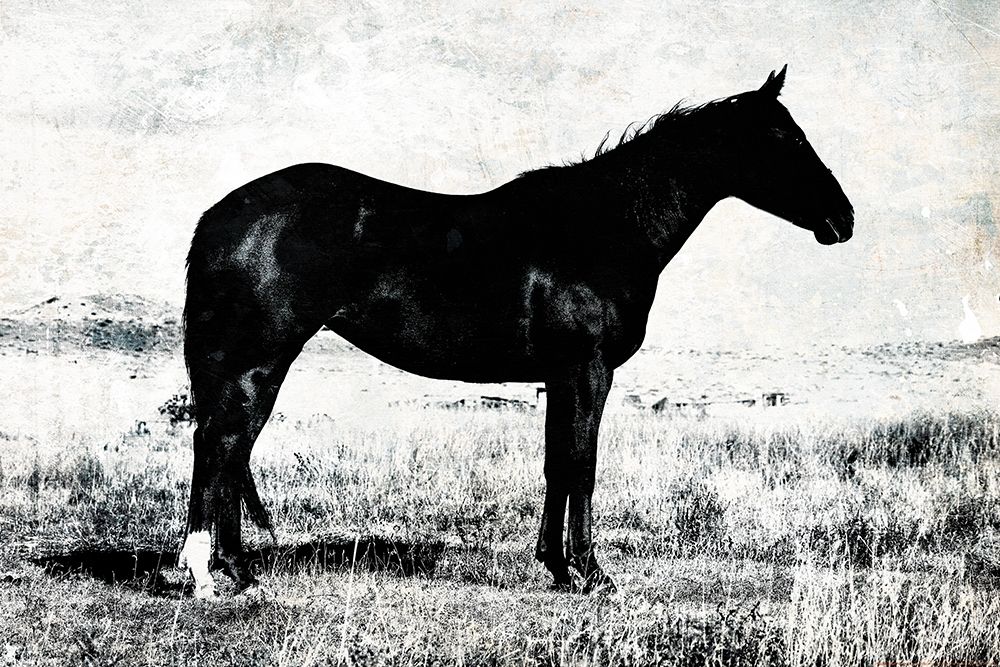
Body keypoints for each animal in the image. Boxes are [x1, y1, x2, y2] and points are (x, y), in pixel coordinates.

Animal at [179, 66, 854, 598]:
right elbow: (582, 461)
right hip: (260, 358)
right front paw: (590, 572)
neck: (600, 228)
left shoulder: (557, 375)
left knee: (230, 447)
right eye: (787, 138)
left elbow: (557, 462)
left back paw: (236, 569)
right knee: (223, 442)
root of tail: (219, 215)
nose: (842, 219)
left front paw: (556, 566)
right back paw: (209, 573)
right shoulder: (587, 368)